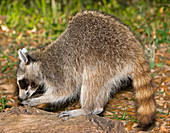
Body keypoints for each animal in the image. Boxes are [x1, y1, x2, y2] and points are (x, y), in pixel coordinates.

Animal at [16, 10, 155, 128]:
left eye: (21, 82)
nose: (20, 97)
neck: (40, 61)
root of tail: (135, 49)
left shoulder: (57, 70)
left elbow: (66, 90)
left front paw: (39, 99)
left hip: (106, 58)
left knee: (90, 80)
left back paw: (86, 109)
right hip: (113, 67)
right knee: (104, 84)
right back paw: (98, 108)